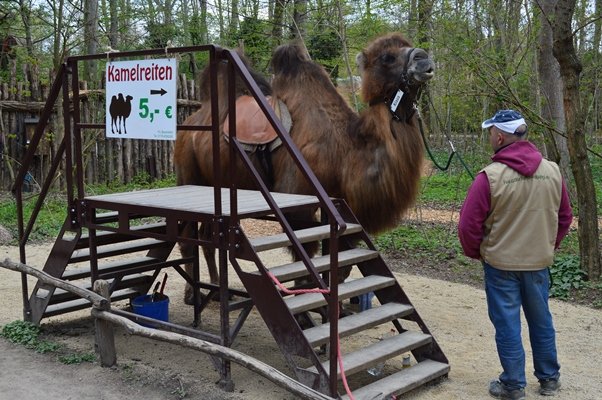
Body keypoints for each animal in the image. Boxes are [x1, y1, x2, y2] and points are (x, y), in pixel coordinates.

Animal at [174, 33, 434, 304]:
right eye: (387, 57)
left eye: (408, 45)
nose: (423, 58)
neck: (344, 149)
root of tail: (190, 122)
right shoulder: (297, 198)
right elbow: (306, 255)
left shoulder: (343, 205)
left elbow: (341, 264)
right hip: (187, 171)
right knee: (187, 238)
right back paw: (192, 294)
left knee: (206, 237)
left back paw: (215, 290)